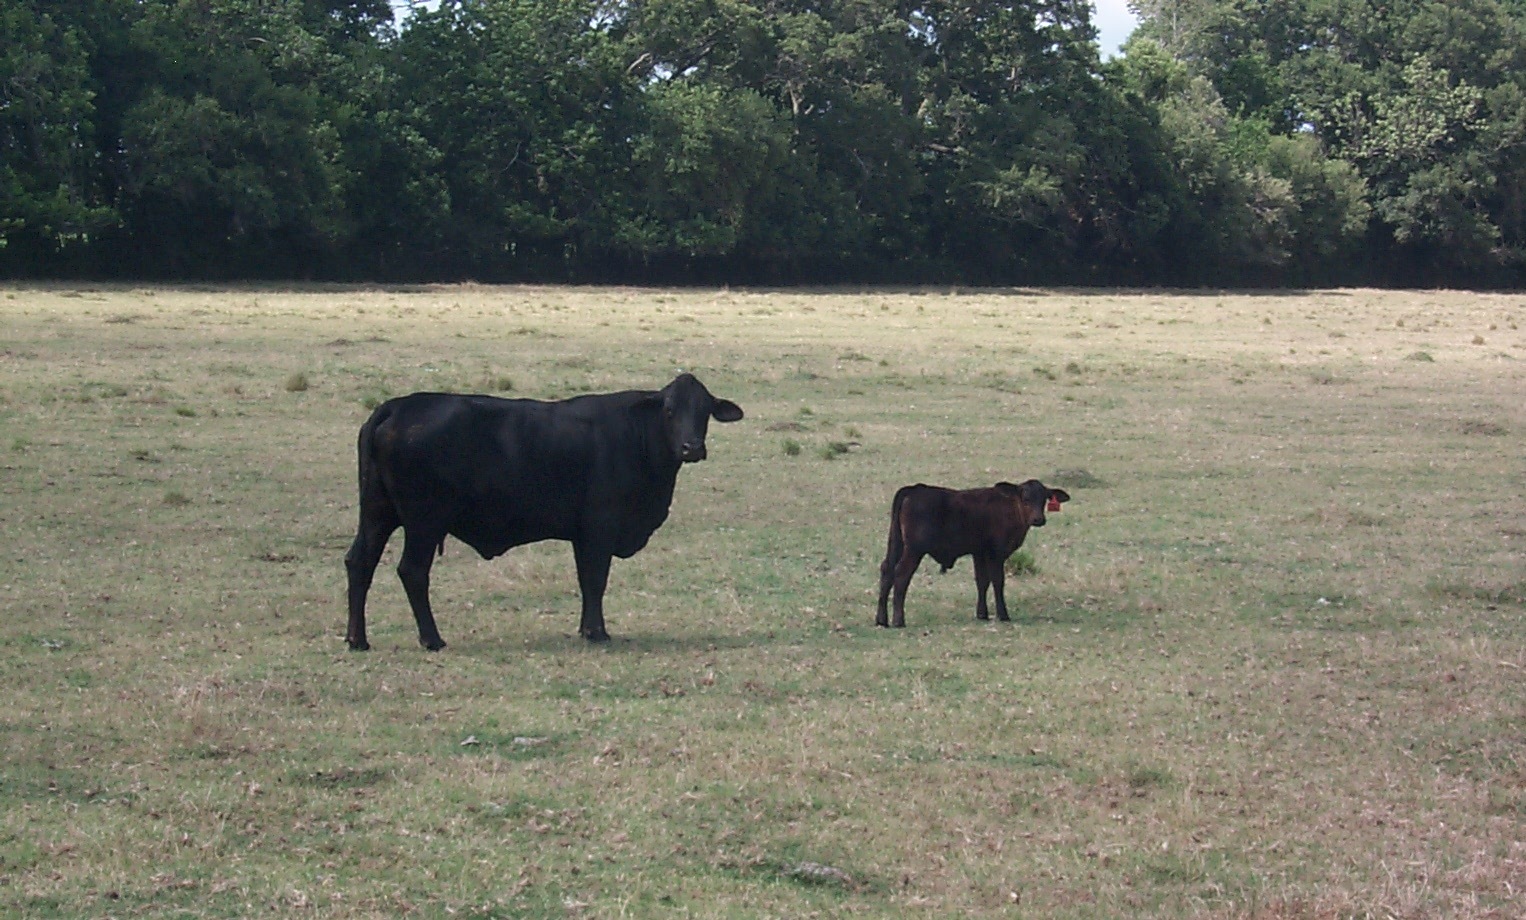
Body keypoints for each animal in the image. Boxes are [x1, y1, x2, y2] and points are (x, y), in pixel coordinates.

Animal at [344, 373, 743, 650]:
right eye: (670, 410)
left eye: (705, 411)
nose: (692, 447)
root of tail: (398, 406)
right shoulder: (599, 527)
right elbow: (595, 580)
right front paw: (596, 632)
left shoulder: (583, 534)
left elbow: (586, 581)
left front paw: (586, 629)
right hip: (424, 522)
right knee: (412, 571)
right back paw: (431, 639)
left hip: (378, 514)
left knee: (359, 562)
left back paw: (357, 639)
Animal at [875, 480, 1070, 628]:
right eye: (1025, 498)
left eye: (1044, 499)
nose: (1039, 519)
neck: (1010, 509)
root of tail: (914, 489)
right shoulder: (995, 553)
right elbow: (997, 581)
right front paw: (1003, 614)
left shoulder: (979, 553)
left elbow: (982, 581)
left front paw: (982, 614)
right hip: (914, 550)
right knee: (901, 575)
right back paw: (898, 620)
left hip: (896, 544)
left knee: (887, 571)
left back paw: (881, 620)